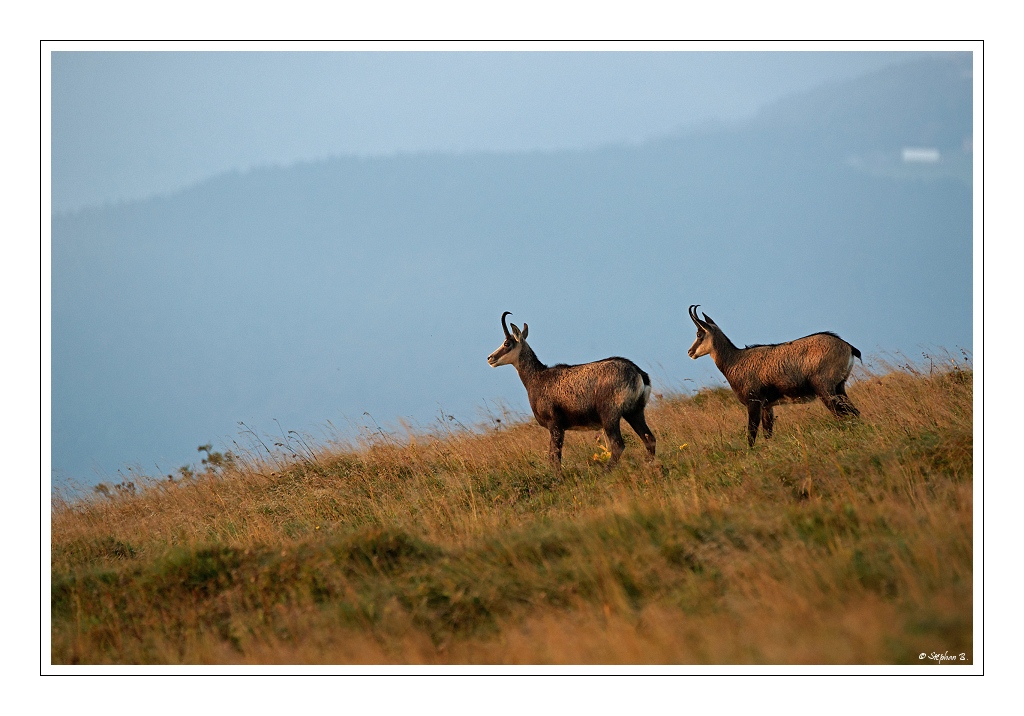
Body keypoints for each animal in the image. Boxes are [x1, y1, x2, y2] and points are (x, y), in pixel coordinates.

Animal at [487, 312, 656, 473]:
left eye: (507, 343)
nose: (490, 358)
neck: (537, 377)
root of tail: (638, 372)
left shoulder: (555, 424)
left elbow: (554, 456)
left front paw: (558, 479)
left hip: (610, 415)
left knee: (618, 445)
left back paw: (604, 473)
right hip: (634, 412)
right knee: (649, 438)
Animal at [686, 305, 861, 447]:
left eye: (700, 334)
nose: (690, 352)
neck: (735, 361)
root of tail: (848, 347)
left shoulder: (754, 402)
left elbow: (751, 434)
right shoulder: (767, 406)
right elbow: (767, 434)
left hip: (825, 389)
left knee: (843, 413)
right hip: (839, 387)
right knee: (854, 412)